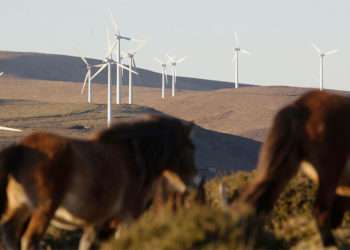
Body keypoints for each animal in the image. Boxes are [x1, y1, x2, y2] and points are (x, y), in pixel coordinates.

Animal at [0, 114, 197, 250]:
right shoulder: (126, 218)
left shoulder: (95, 223)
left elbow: (86, 245)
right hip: (43, 210)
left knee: (8, 233)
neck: (136, 157)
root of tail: (19, 149)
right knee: (29, 239)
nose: (194, 181)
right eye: (191, 148)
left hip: (20, 208)